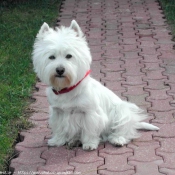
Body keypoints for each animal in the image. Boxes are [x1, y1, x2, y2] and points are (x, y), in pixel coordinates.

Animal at [32, 19, 159, 150]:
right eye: (51, 57)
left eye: (69, 56)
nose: (60, 70)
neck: (68, 89)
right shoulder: (57, 112)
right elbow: (59, 128)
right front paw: (57, 141)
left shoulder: (91, 113)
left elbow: (90, 130)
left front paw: (89, 144)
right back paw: (74, 141)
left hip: (121, 112)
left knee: (123, 129)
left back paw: (118, 139)